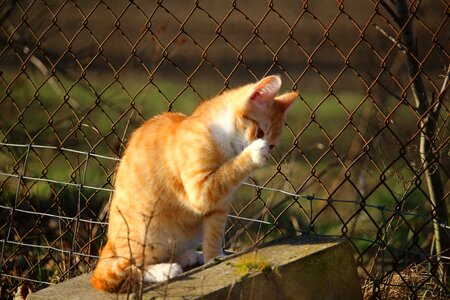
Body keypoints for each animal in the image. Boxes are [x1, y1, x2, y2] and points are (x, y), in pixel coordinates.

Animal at [89, 75, 298, 290]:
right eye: (259, 133)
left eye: (272, 146)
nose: (267, 154)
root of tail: (110, 245)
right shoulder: (200, 191)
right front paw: (254, 153)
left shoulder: (219, 204)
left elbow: (214, 233)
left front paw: (215, 259)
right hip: (143, 232)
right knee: (127, 269)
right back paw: (162, 270)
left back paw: (187, 256)